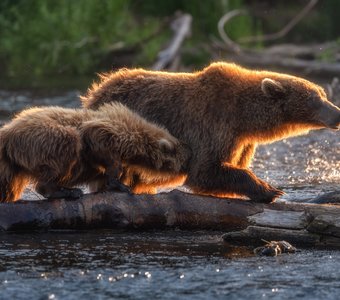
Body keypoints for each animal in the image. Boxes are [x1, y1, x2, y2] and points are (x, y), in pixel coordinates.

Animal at [81, 62, 338, 204]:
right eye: (315, 99)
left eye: (322, 94)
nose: (337, 113)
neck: (245, 118)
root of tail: (96, 91)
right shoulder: (213, 123)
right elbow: (205, 171)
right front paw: (270, 190)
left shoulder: (242, 142)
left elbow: (230, 165)